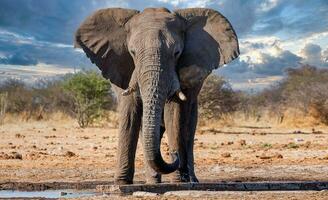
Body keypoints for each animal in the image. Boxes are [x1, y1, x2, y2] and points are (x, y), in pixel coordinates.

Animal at [74, 6, 238, 184]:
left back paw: (191, 179)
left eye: (177, 53)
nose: (174, 155)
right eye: (132, 52)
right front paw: (122, 183)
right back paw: (153, 181)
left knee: (188, 129)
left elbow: (174, 113)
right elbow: (130, 113)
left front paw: (178, 181)